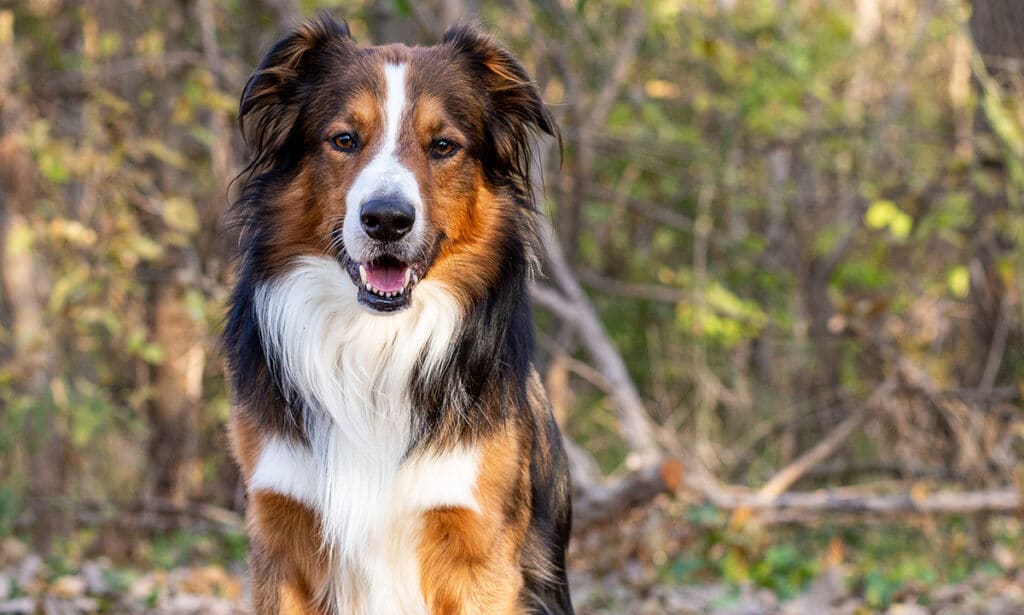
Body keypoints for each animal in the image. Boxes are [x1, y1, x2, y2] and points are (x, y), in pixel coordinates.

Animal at [223, 14, 573, 613]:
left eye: (443, 146)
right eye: (344, 140)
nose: (387, 219)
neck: (375, 341)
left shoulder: (480, 555)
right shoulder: (281, 537)